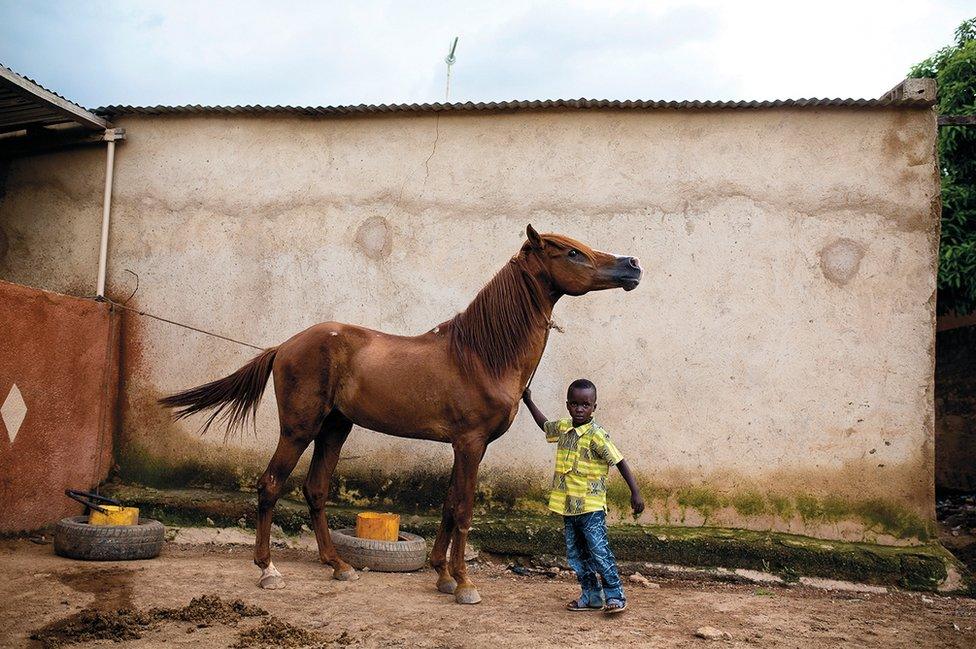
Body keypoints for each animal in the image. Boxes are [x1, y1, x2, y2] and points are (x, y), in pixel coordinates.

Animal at [159, 224, 642, 604]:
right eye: (572, 252)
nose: (632, 265)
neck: (481, 355)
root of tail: (286, 345)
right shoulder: (470, 444)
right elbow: (463, 508)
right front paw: (464, 584)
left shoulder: (464, 447)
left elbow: (448, 504)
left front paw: (442, 575)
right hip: (299, 429)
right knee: (270, 486)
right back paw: (268, 570)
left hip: (335, 428)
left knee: (315, 490)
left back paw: (338, 565)